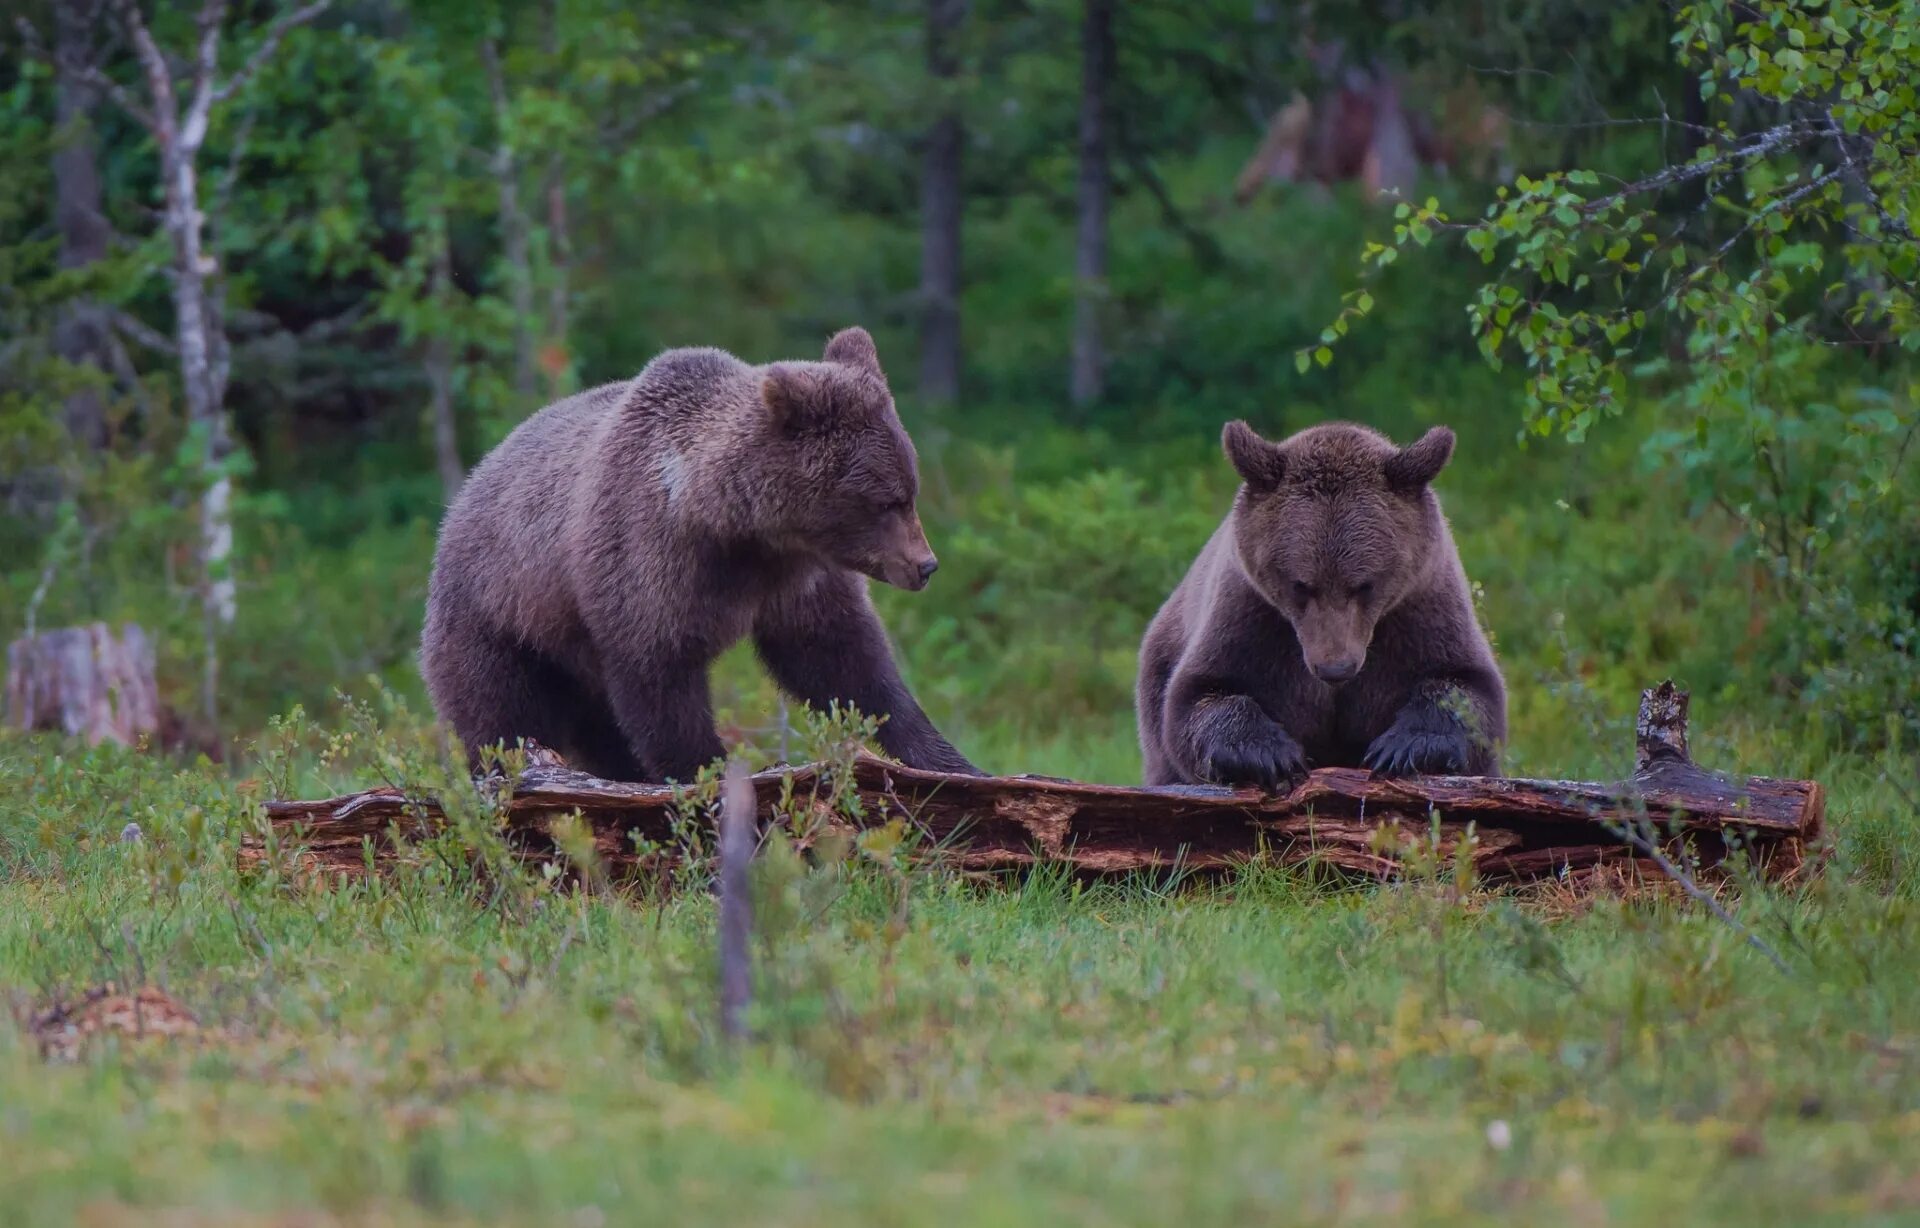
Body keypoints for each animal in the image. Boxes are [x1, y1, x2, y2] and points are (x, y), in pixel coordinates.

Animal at [419, 326, 978, 783]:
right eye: (888, 500)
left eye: (910, 490)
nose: (925, 566)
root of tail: (465, 494)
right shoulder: (644, 556)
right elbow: (660, 674)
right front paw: (711, 772)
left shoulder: (800, 575)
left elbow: (844, 661)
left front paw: (951, 762)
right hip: (501, 619)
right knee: (500, 713)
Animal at [1135, 419, 1505, 789]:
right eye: (1301, 585)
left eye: (1365, 585)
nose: (1335, 668)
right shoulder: (1251, 617)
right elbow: (1199, 694)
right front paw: (1269, 756)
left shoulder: (1420, 609)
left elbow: (1468, 687)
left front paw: (1403, 748)